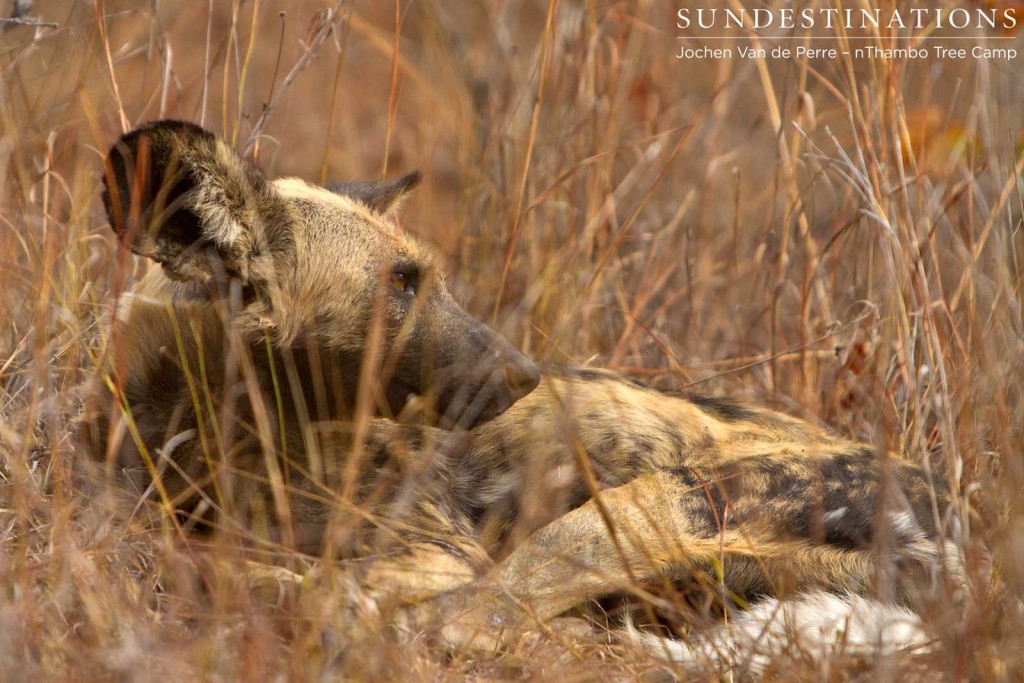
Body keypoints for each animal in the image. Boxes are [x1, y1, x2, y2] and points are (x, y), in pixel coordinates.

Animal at [77, 121, 958, 655]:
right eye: (401, 282)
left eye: (422, 274)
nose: (528, 372)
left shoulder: (437, 553)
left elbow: (370, 587)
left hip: (651, 505)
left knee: (463, 617)